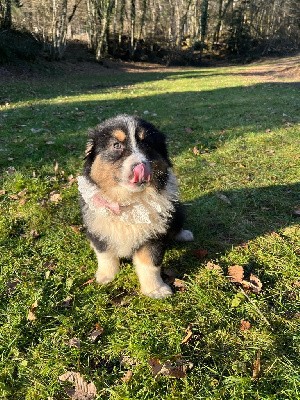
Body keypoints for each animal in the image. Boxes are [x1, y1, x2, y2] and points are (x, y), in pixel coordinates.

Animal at [78, 114, 193, 298]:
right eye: (116, 145)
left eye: (146, 144)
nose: (140, 167)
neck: (128, 202)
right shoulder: (98, 226)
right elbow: (105, 254)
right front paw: (106, 276)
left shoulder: (153, 234)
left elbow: (150, 263)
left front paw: (156, 289)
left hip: (177, 210)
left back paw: (184, 234)